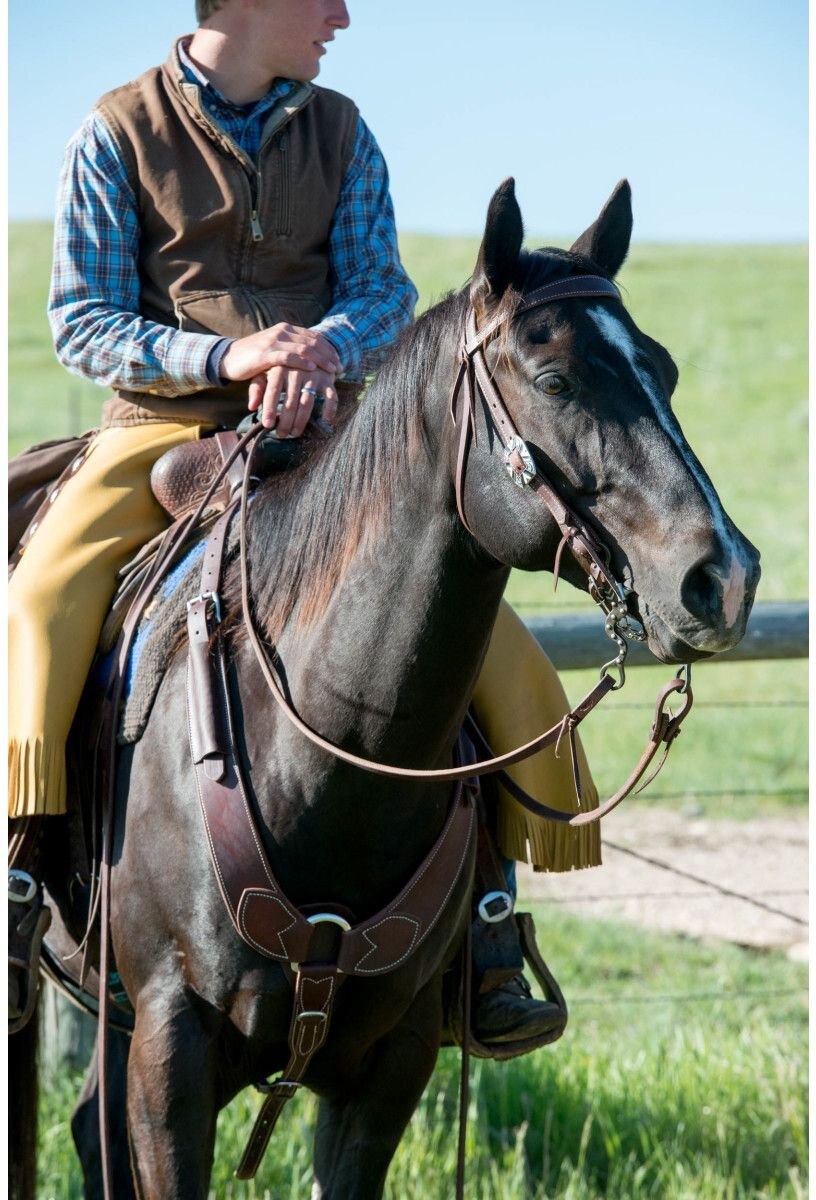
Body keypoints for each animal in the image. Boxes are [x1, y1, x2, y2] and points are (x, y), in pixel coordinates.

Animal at [23, 180, 758, 1200]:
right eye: (557, 381)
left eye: (666, 371)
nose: (722, 579)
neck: (326, 760)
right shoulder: (171, 1048)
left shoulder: (391, 1065)